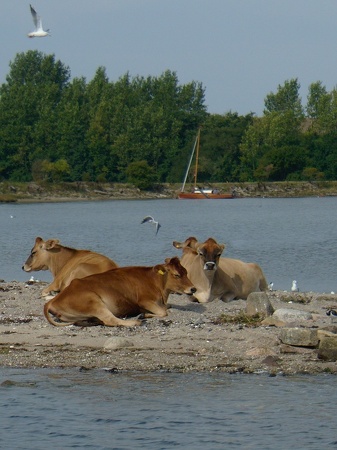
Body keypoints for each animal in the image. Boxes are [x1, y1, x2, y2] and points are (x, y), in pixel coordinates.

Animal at [42, 256, 194, 326]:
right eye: (177, 275)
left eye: (186, 272)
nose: (193, 288)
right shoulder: (144, 301)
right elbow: (163, 312)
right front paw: (144, 315)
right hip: (93, 301)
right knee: (110, 320)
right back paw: (136, 322)